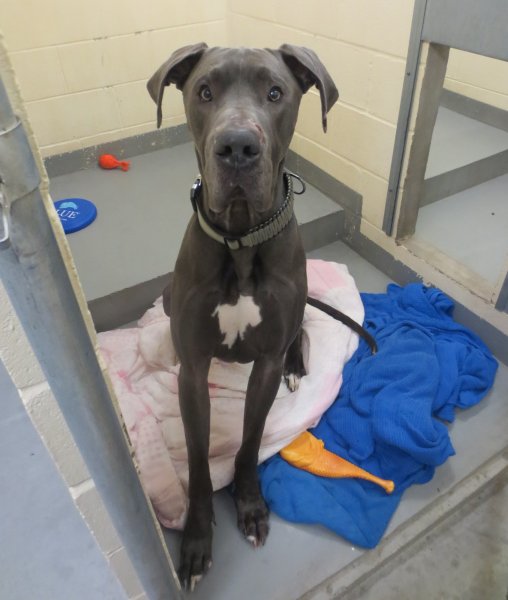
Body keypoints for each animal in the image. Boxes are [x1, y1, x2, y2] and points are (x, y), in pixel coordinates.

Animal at [147, 43, 376, 590]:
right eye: (204, 91)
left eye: (275, 93)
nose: (237, 147)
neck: (240, 236)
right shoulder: (195, 372)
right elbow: (198, 460)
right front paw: (195, 541)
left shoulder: (266, 363)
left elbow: (250, 442)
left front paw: (249, 506)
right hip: (168, 297)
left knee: (300, 331)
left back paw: (298, 365)